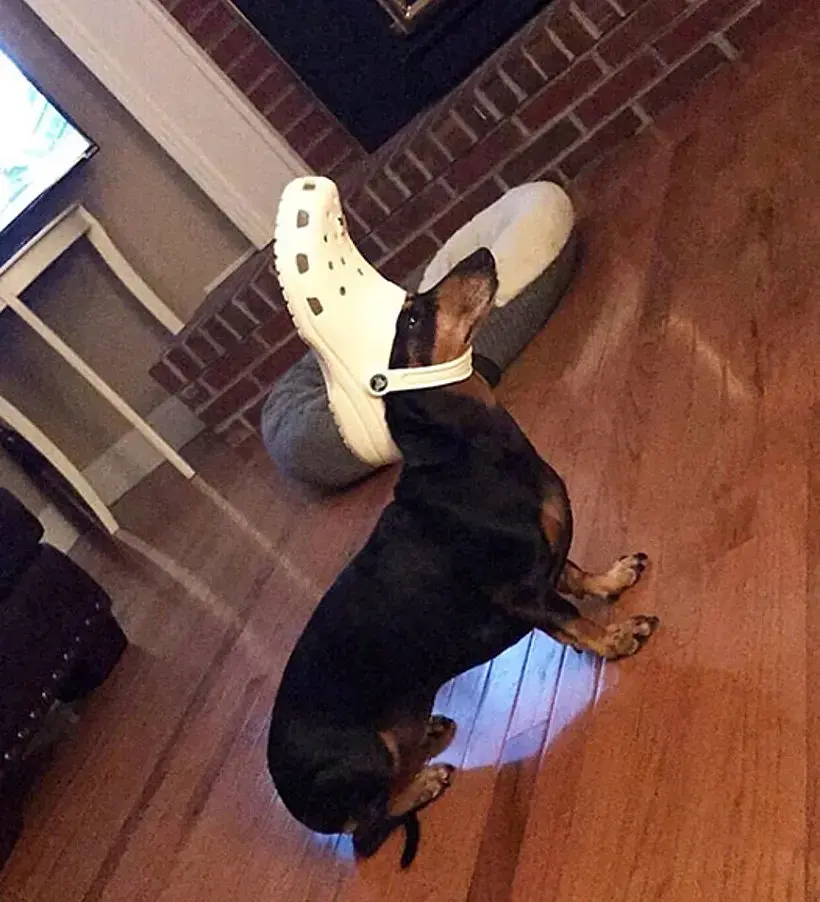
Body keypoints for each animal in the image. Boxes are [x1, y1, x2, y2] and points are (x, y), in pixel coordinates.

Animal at [267, 247, 658, 867]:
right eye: (410, 317)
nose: (481, 253)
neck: (465, 454)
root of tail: (290, 800)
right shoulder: (522, 593)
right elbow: (571, 620)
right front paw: (616, 637)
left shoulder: (542, 565)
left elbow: (574, 576)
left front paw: (612, 578)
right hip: (364, 760)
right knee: (368, 831)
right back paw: (424, 781)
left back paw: (424, 736)